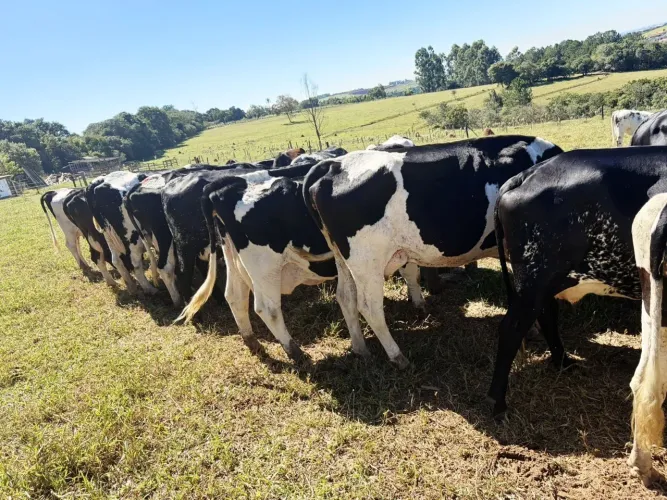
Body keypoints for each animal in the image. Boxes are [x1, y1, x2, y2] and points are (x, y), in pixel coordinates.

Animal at [175, 163, 426, 361]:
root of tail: (223, 186)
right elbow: (411, 272)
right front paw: (420, 303)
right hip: (264, 267)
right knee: (267, 308)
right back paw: (294, 351)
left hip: (233, 258)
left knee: (235, 297)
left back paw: (253, 342)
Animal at [304, 135, 562, 368]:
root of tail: (333, 165)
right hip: (368, 261)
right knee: (369, 307)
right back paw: (397, 356)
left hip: (344, 259)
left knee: (346, 297)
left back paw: (360, 349)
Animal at [489, 147, 667, 420]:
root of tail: (527, 174)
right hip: (533, 281)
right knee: (512, 329)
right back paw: (498, 402)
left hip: (545, 282)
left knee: (546, 315)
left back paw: (563, 361)